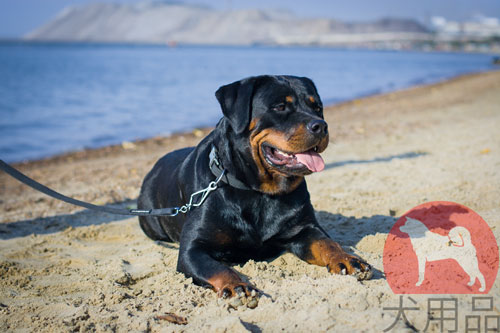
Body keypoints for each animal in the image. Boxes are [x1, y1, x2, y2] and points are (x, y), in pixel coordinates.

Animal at [137, 74, 372, 306]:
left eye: (317, 107)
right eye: (280, 107)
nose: (321, 126)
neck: (258, 192)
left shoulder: (304, 229)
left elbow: (328, 243)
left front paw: (347, 259)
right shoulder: (193, 249)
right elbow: (216, 267)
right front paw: (236, 285)